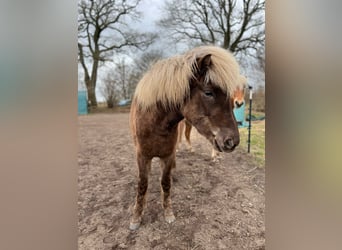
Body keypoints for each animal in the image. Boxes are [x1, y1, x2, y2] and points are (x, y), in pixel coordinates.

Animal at [130, 45, 242, 230]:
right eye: (208, 92)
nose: (232, 141)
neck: (155, 124)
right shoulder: (142, 156)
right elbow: (143, 185)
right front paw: (136, 217)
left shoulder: (167, 156)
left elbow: (166, 183)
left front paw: (168, 213)